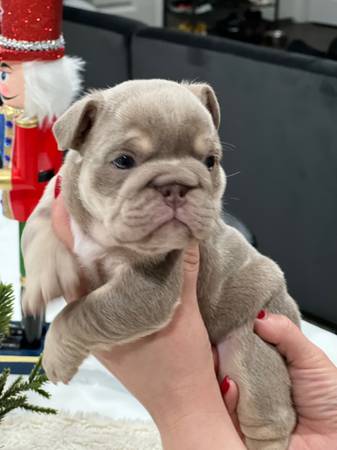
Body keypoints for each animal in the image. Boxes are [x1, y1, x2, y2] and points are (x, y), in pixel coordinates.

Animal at [21, 81, 300, 450]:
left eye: (210, 162)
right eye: (123, 161)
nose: (177, 184)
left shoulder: (146, 289)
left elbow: (82, 313)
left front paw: (55, 354)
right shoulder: (56, 198)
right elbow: (38, 231)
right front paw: (46, 275)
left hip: (253, 344)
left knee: (269, 418)